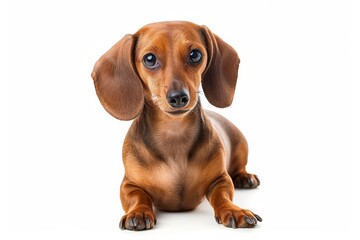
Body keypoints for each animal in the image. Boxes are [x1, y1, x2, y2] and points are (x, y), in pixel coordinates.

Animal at [92, 20, 262, 231]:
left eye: (195, 54)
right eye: (149, 59)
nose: (179, 97)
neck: (174, 133)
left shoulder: (221, 179)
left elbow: (222, 195)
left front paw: (234, 210)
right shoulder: (128, 184)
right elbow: (137, 197)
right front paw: (138, 212)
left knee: (240, 167)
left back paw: (245, 177)